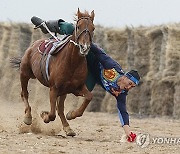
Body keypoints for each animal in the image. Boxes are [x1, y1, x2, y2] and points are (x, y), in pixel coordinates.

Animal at [10, 8, 95, 136]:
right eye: (78, 27)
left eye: (93, 28)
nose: (84, 47)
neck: (72, 62)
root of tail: (33, 45)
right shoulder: (54, 88)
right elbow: (51, 114)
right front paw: (43, 115)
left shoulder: (77, 87)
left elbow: (89, 97)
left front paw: (71, 114)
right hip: (24, 73)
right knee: (24, 93)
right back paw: (28, 117)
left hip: (64, 91)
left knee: (60, 108)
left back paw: (68, 128)